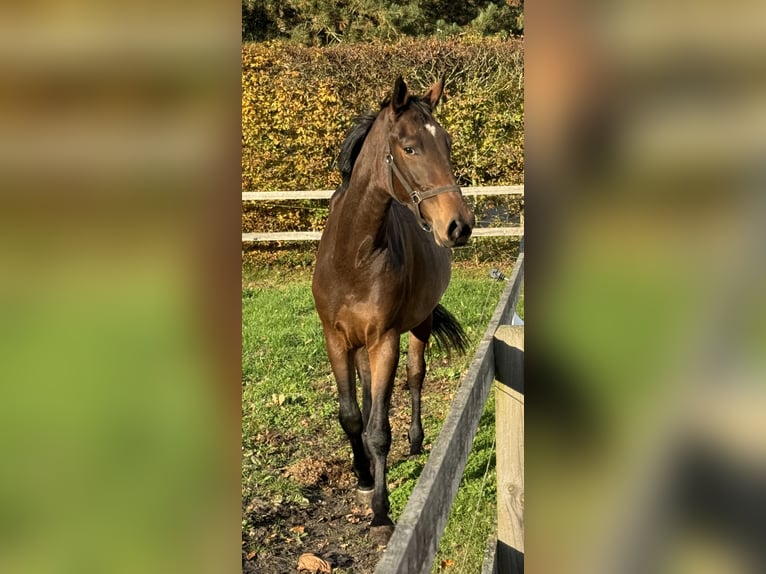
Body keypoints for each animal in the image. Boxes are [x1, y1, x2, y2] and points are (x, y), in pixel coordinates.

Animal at [312, 74, 474, 548]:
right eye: (409, 147)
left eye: (448, 143)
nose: (459, 225)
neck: (353, 255)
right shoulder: (336, 339)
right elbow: (352, 416)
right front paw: (364, 477)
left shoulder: (385, 340)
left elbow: (380, 431)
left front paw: (381, 513)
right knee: (368, 399)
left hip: (418, 324)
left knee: (415, 378)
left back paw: (416, 440)